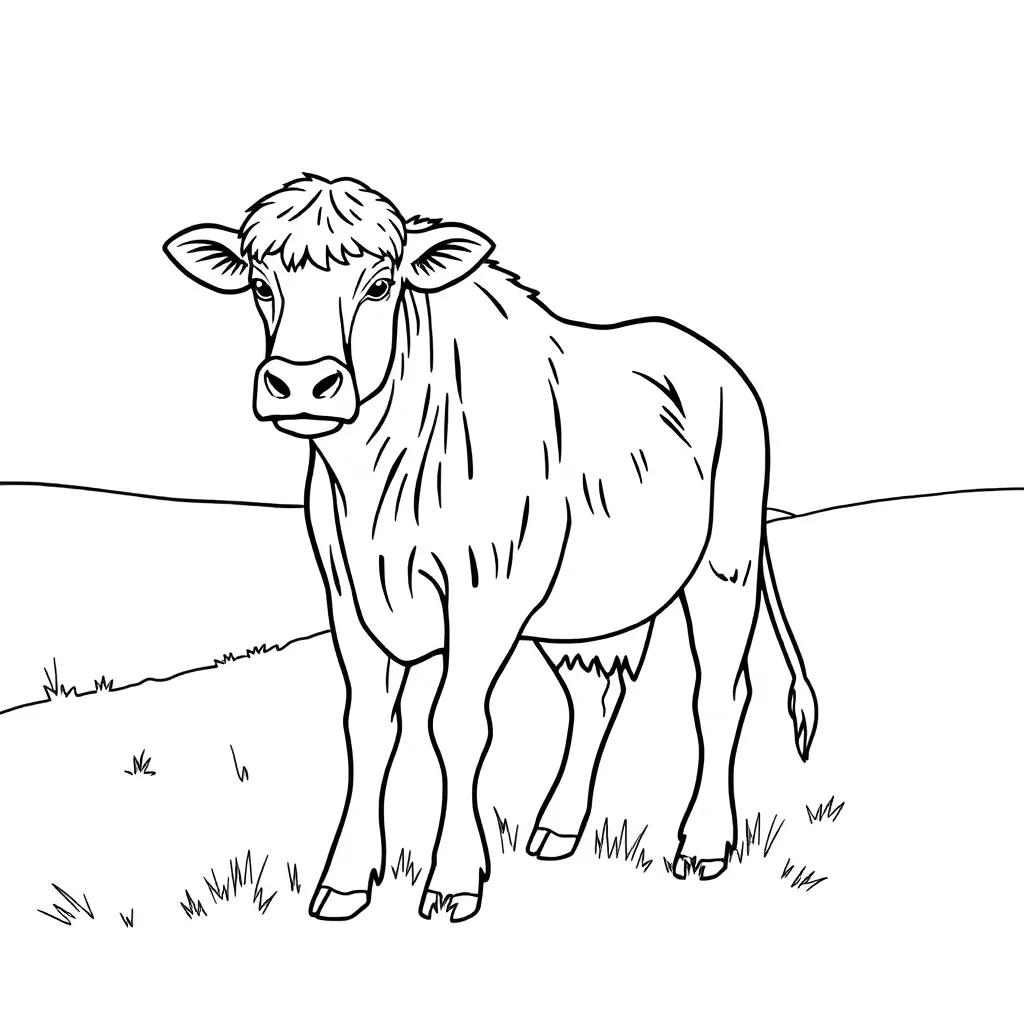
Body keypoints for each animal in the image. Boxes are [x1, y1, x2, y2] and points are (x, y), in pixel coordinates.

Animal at [164, 173, 818, 923]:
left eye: (381, 284)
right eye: (260, 284)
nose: (301, 384)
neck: (379, 478)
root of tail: (711, 359)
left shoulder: (485, 595)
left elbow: (456, 725)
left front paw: (452, 880)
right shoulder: (349, 600)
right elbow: (367, 728)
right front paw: (347, 880)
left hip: (724, 564)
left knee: (718, 694)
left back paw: (703, 843)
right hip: (586, 607)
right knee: (596, 695)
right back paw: (558, 828)